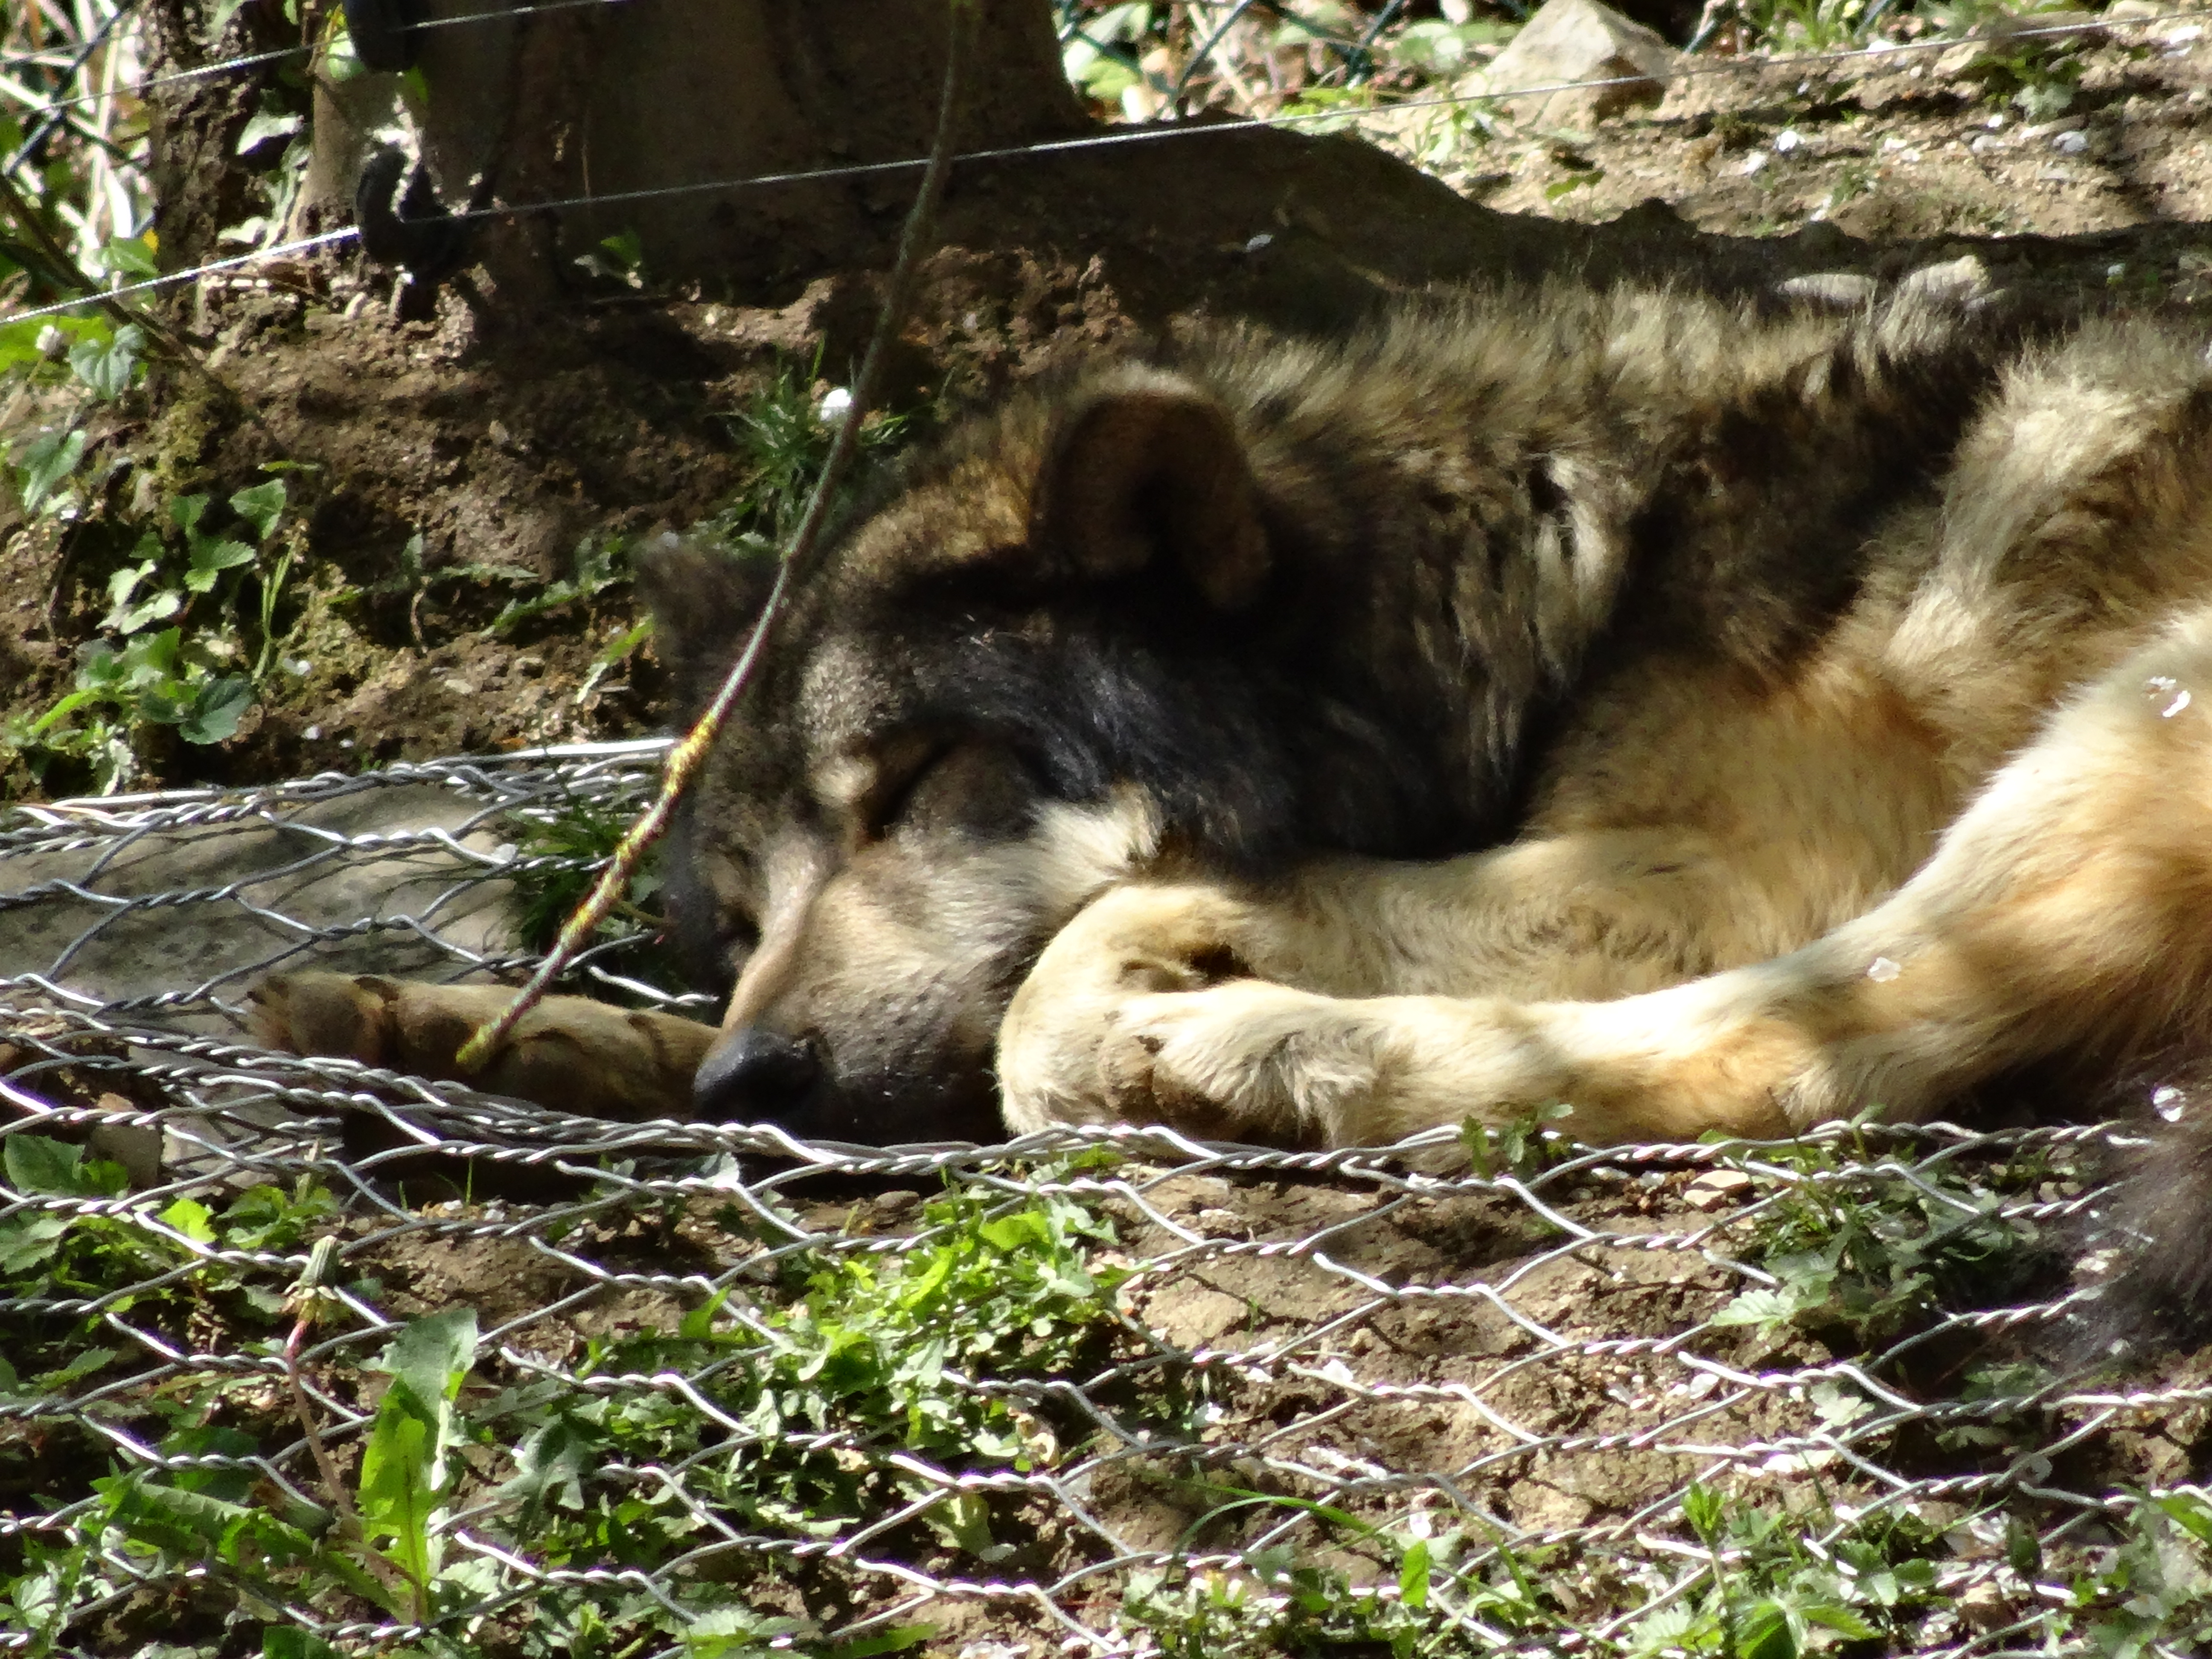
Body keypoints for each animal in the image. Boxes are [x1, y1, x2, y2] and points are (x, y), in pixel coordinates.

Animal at [257, 263, 2212, 1235]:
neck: (1578, 568)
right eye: (734, 920)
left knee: (1821, 1054)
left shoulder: (1725, 865)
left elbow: (1084, 960)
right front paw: (442, 1026)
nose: (758, 1083)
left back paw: (1269, 1055)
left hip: (2117, 727)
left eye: (916, 787)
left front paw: (1135, 1019)